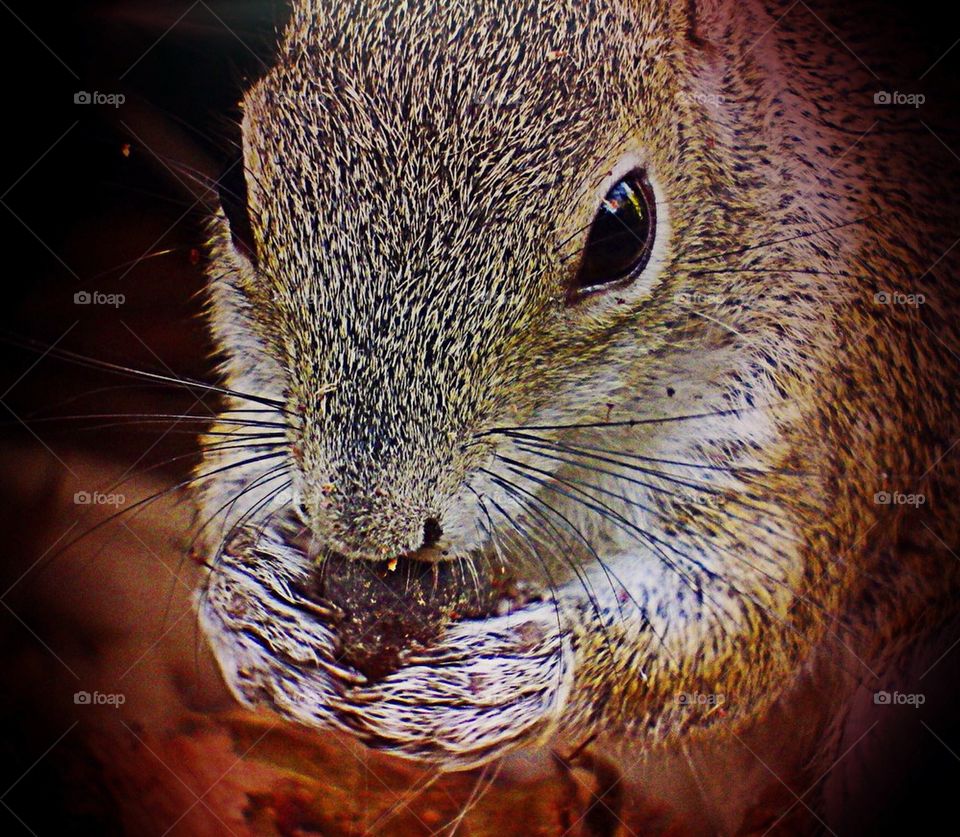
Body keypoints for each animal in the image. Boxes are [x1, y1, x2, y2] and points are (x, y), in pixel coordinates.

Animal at [195, 0, 960, 822]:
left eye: (624, 229)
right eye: (234, 188)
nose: (366, 532)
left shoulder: (809, 417)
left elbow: (748, 616)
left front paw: (517, 673)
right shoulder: (259, 398)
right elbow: (222, 495)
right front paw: (252, 611)